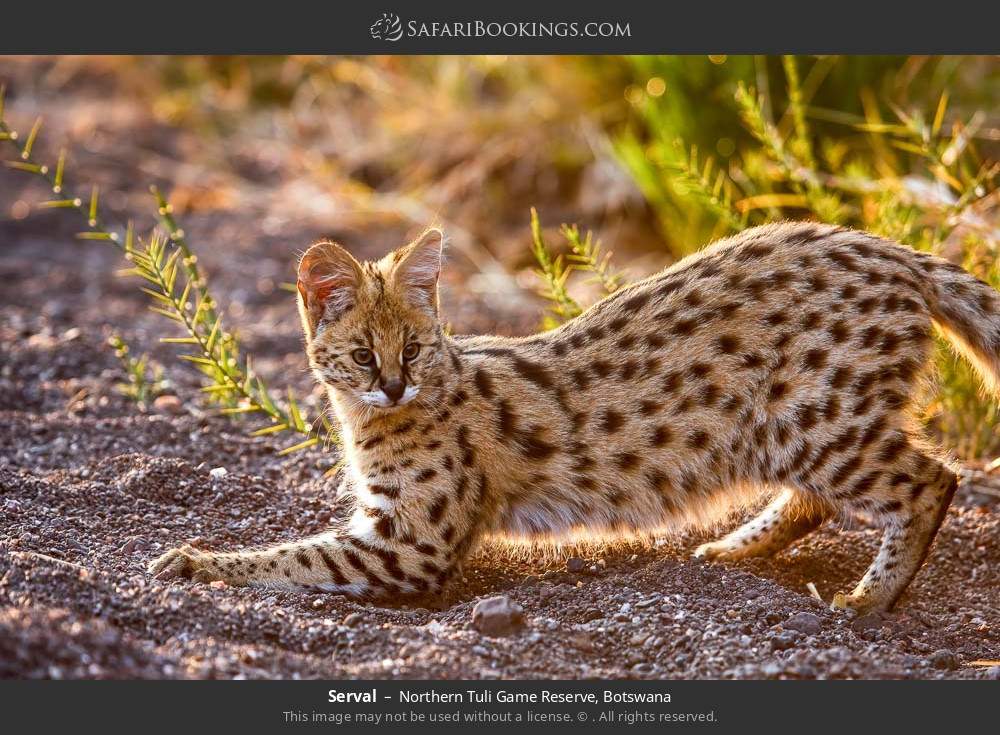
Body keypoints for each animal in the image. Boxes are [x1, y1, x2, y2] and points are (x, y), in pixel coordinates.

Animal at [148, 223, 1000, 616]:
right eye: (361, 354)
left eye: (412, 349)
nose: (392, 385)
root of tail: (895, 251)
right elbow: (296, 550)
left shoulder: (410, 544)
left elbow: (291, 556)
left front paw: (193, 561)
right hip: (794, 427)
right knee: (819, 497)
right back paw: (733, 547)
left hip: (819, 421)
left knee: (932, 478)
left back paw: (869, 599)